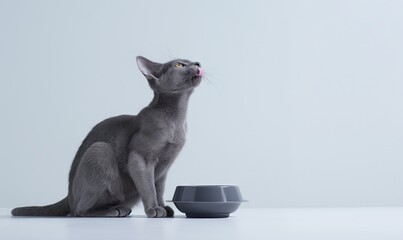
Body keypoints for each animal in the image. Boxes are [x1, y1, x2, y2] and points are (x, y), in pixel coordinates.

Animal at [11, 56, 205, 218]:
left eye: (191, 61)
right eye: (179, 65)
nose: (198, 63)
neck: (176, 120)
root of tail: (69, 195)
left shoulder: (164, 167)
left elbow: (159, 189)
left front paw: (163, 207)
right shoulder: (139, 159)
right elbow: (149, 188)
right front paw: (153, 209)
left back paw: (119, 208)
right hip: (99, 151)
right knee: (78, 211)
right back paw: (112, 211)